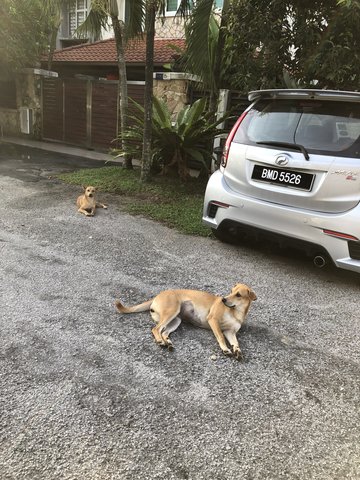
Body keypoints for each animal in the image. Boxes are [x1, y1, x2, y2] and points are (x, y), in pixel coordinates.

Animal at [114, 284, 256, 358]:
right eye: (231, 291)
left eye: (238, 294)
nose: (223, 299)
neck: (236, 311)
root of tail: (157, 296)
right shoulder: (213, 320)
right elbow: (220, 336)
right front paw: (225, 349)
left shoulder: (230, 332)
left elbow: (236, 342)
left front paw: (237, 350)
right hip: (172, 311)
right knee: (156, 329)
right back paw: (160, 341)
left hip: (176, 320)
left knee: (164, 332)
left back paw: (168, 342)